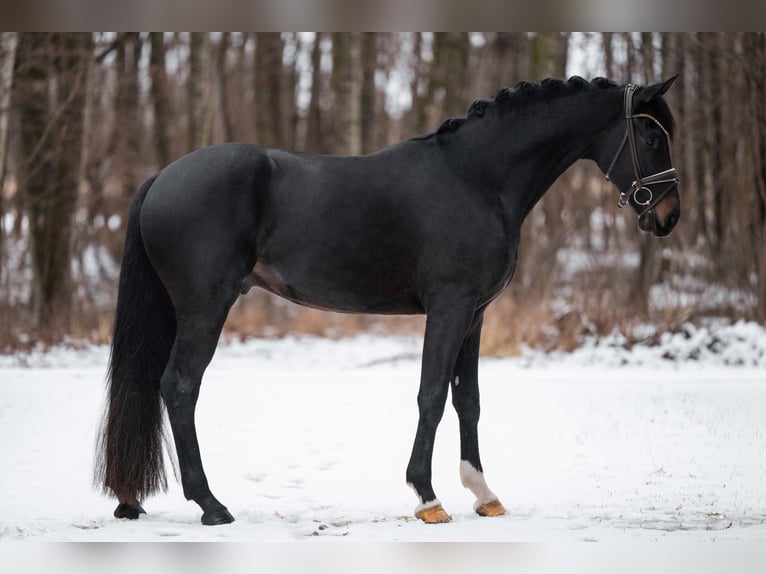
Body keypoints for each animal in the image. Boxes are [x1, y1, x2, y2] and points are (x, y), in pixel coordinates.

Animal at [95, 76, 681, 525]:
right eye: (651, 137)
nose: (668, 215)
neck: (476, 179)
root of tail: (163, 176)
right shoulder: (449, 308)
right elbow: (432, 396)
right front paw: (427, 498)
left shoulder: (475, 315)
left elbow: (469, 400)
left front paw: (484, 494)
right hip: (205, 307)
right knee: (179, 387)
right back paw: (211, 505)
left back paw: (133, 502)